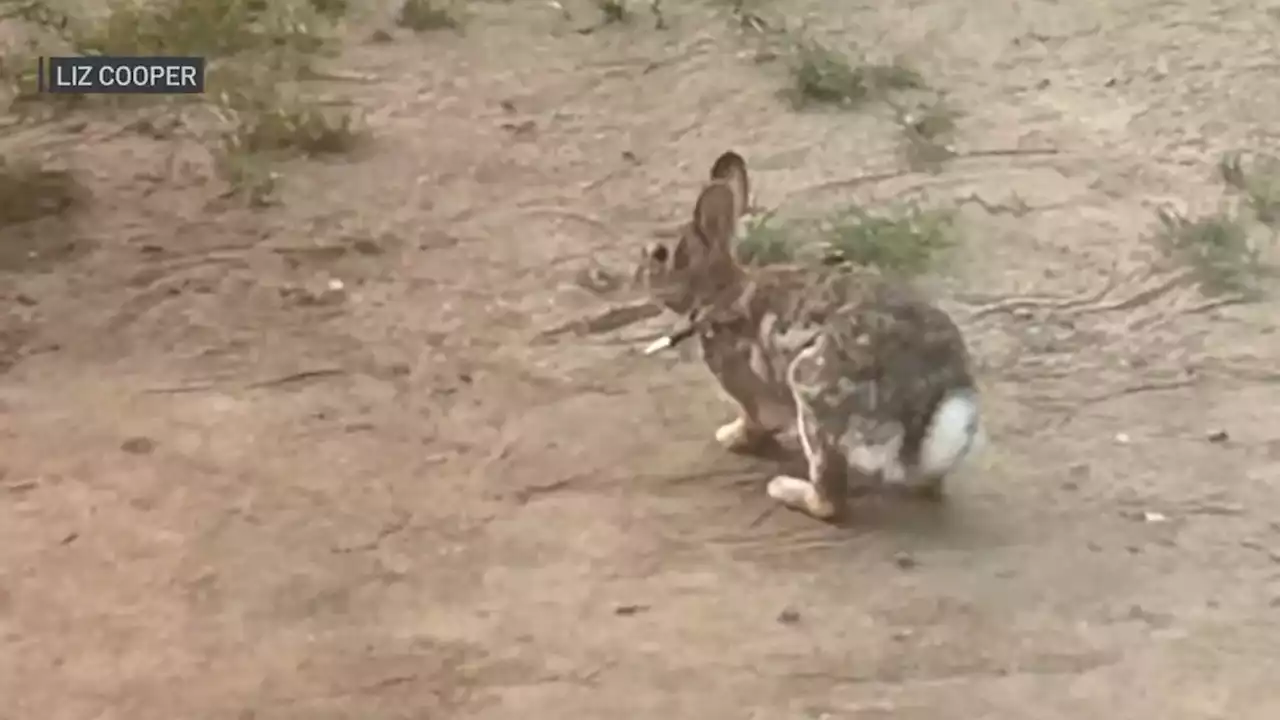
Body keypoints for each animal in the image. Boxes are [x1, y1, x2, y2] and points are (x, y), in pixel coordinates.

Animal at [634, 151, 983, 517]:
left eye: (660, 254)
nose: (638, 273)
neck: (718, 293)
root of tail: (929, 392)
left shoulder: (746, 389)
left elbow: (752, 420)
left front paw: (730, 437)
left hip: (812, 389)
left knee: (830, 498)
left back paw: (785, 489)